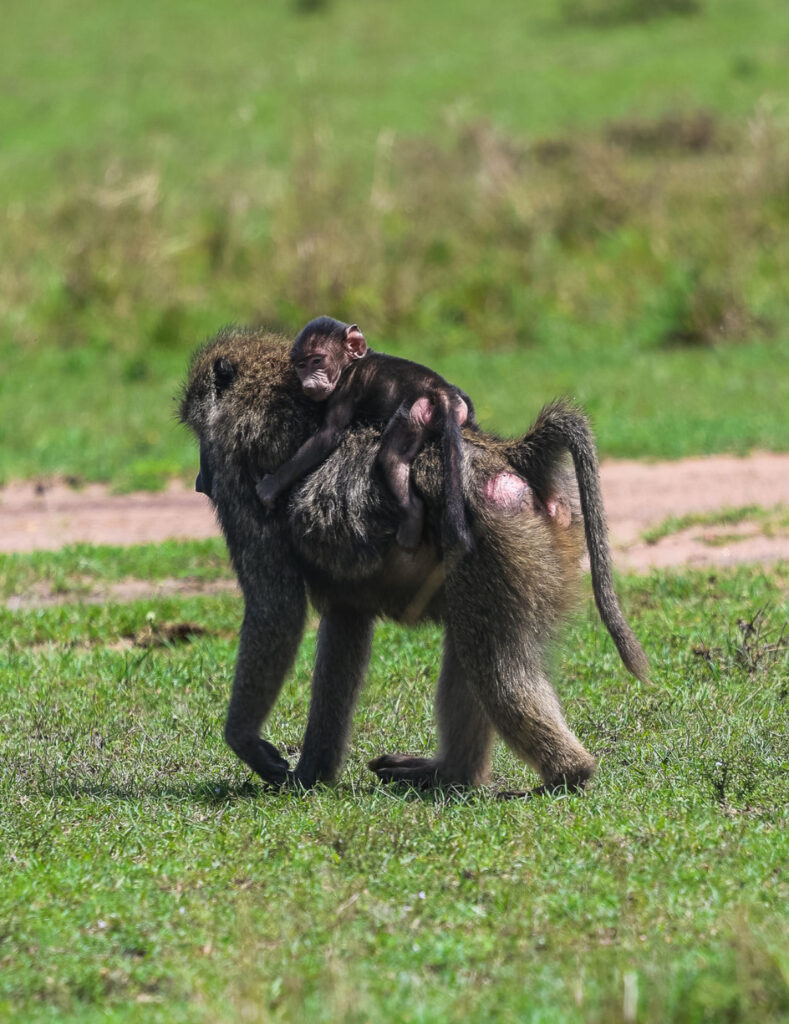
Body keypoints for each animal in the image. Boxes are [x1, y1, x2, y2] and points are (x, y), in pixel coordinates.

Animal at [255, 316, 476, 552]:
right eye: (301, 365)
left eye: (317, 361)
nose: (308, 382)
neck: (350, 364)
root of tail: (442, 390)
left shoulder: (345, 389)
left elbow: (327, 435)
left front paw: (270, 487)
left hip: (418, 408)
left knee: (391, 458)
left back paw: (411, 520)